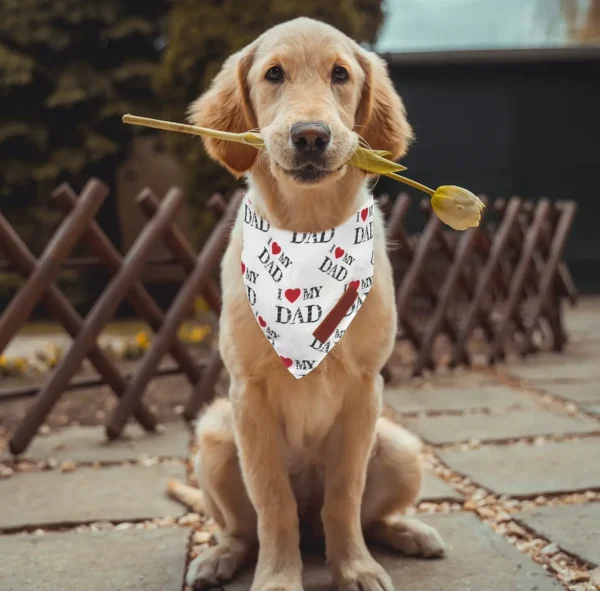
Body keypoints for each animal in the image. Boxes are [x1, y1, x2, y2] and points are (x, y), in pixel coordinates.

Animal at [171, 17, 442, 591]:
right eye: (274, 74)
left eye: (340, 74)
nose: (311, 135)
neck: (308, 233)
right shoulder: (248, 396)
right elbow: (274, 505)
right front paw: (278, 578)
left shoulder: (364, 390)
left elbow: (344, 497)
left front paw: (355, 568)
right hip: (214, 436)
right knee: (243, 529)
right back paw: (217, 558)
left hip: (401, 447)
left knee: (364, 516)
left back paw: (407, 532)